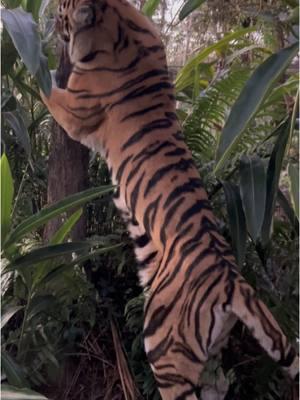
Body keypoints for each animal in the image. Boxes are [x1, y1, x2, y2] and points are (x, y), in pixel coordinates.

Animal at [41, 0, 298, 398]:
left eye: (62, 12)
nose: (52, 21)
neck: (117, 22)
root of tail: (232, 281)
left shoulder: (76, 110)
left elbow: (47, 88)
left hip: (163, 345)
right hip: (212, 356)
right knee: (219, 383)